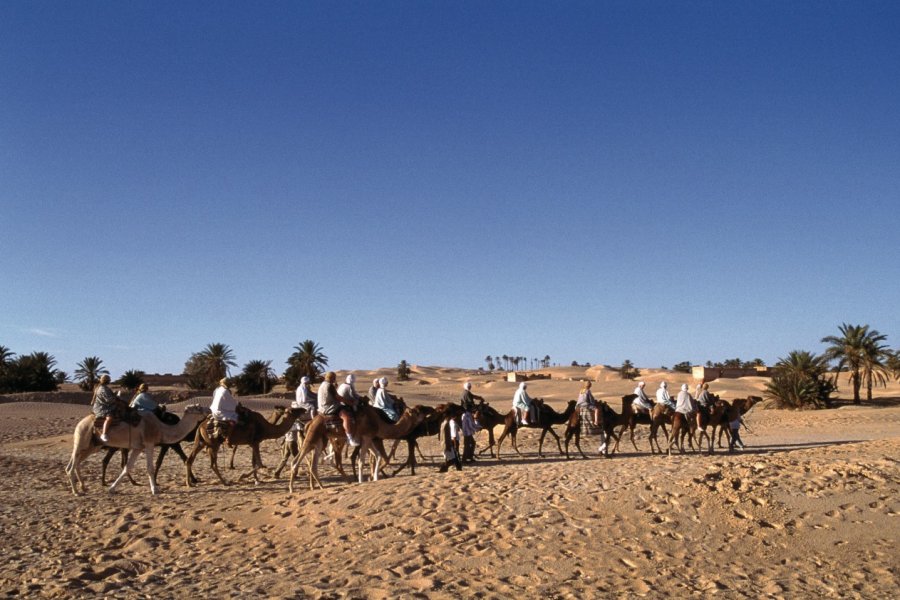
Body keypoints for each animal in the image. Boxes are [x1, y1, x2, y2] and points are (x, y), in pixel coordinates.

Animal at [66, 404, 210, 496]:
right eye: (197, 407)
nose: (208, 409)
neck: (161, 427)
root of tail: (80, 423)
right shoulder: (149, 443)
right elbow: (150, 468)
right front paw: (155, 489)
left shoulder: (138, 448)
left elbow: (127, 467)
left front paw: (112, 489)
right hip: (82, 437)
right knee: (71, 466)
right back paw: (76, 492)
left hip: (92, 446)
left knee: (76, 463)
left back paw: (83, 487)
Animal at [290, 404, 428, 492]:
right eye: (417, 412)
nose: (426, 413)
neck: (379, 423)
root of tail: (310, 422)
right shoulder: (366, 437)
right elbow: (361, 461)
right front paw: (362, 481)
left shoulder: (370, 438)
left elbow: (377, 456)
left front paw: (374, 478)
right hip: (312, 438)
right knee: (296, 461)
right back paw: (292, 489)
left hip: (320, 441)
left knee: (313, 465)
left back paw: (321, 487)